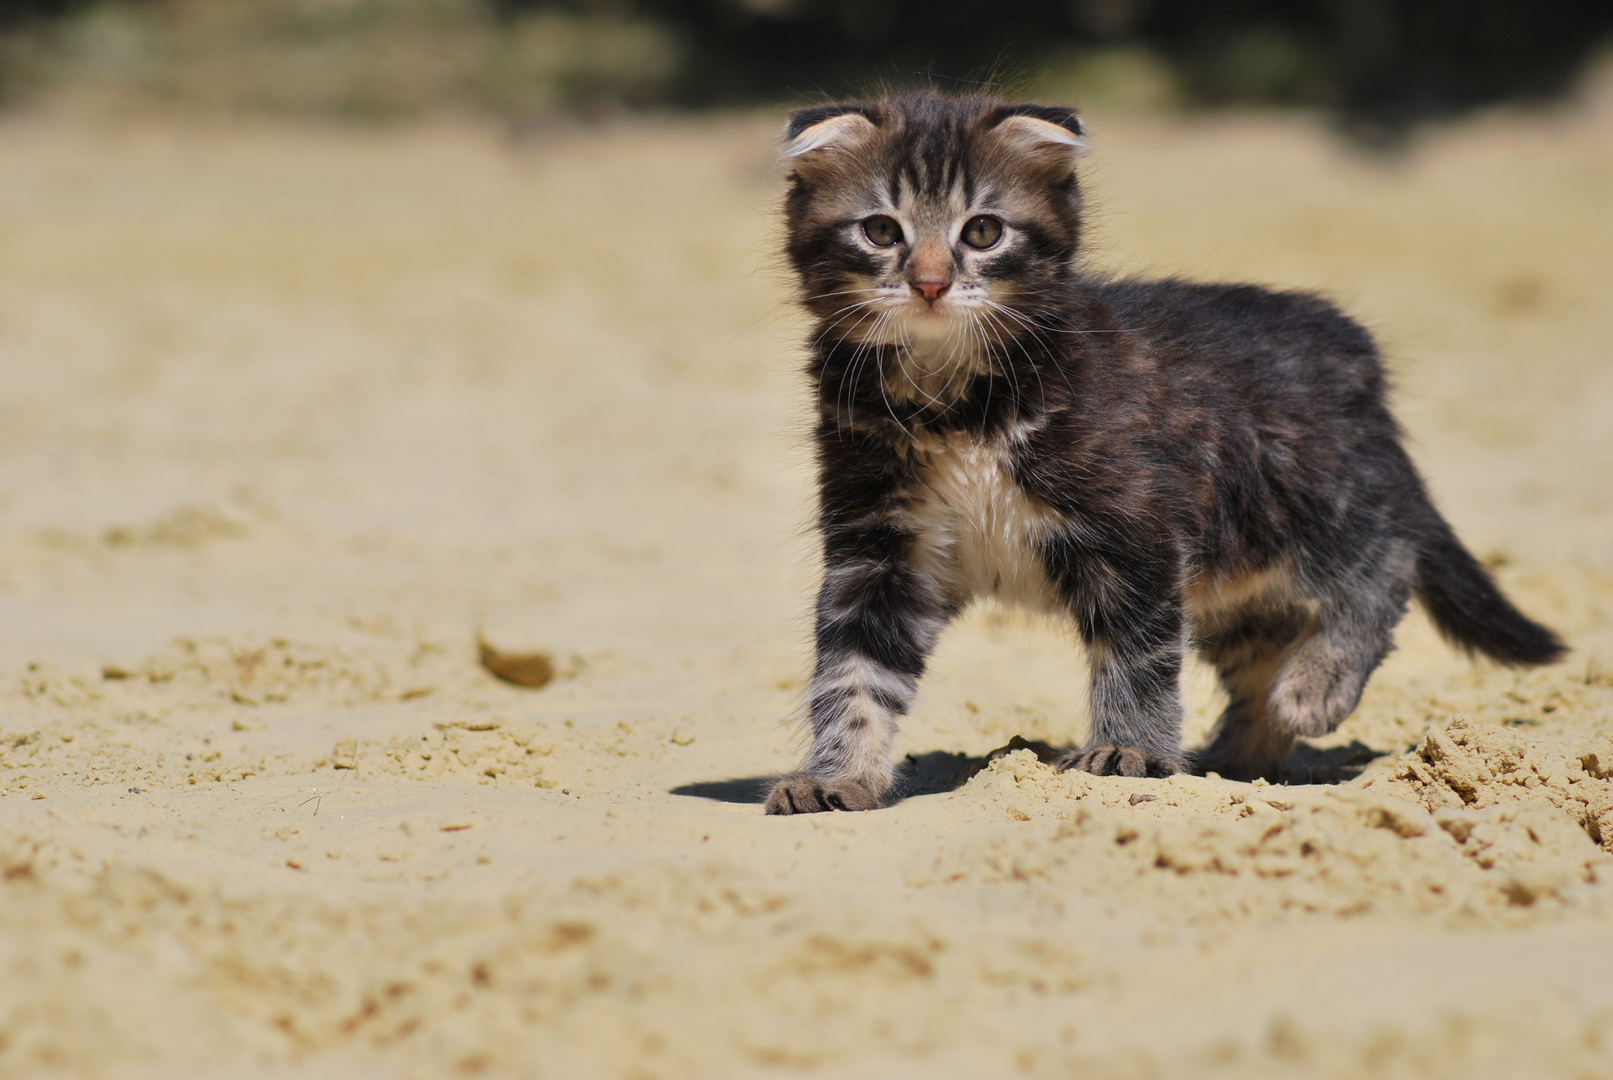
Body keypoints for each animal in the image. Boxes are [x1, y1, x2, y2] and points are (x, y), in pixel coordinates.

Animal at [764, 93, 1561, 815]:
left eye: (983, 231)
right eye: (880, 230)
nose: (930, 283)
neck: (953, 400)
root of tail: (1356, 353)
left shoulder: (1134, 525)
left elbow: (1136, 655)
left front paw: (1130, 752)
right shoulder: (880, 550)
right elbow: (852, 673)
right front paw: (838, 777)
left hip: (1297, 495)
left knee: (1385, 559)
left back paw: (1316, 685)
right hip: (1231, 567)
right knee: (1263, 646)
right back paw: (1236, 758)